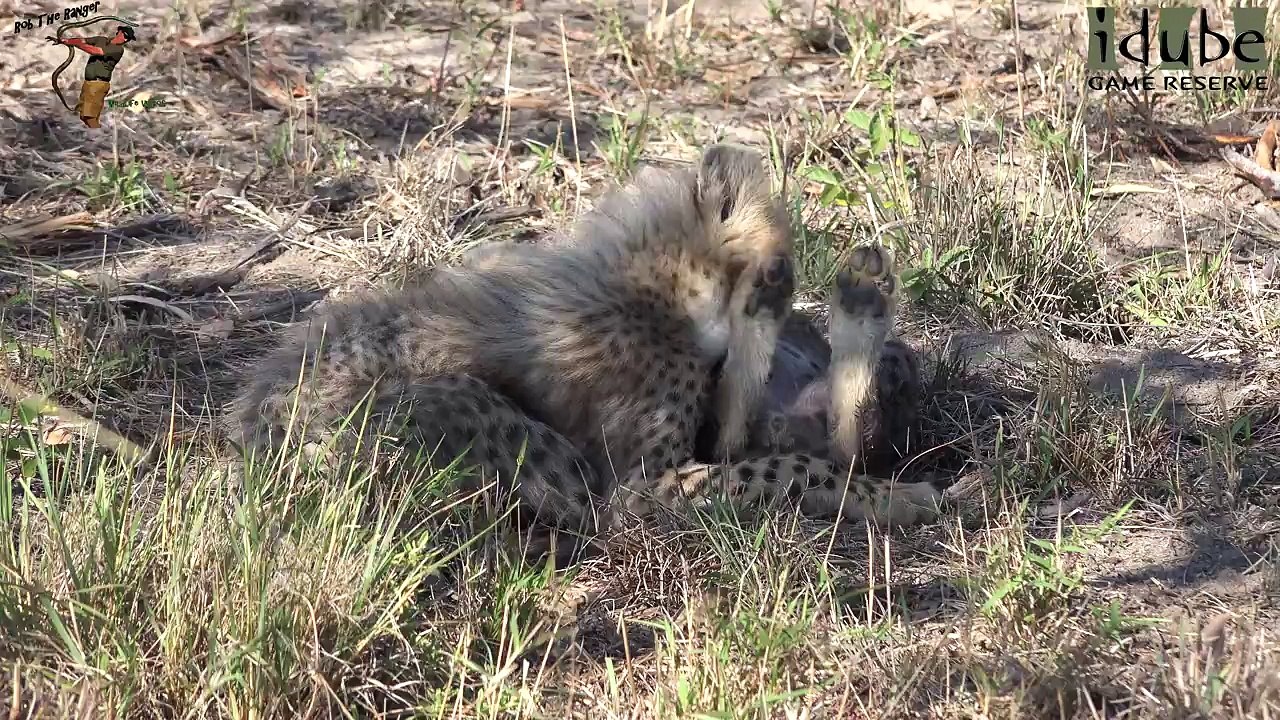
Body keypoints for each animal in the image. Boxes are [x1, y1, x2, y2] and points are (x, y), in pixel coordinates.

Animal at [225, 143, 942, 540]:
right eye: (787, 257)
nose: (785, 291)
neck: (666, 278)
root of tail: (247, 447)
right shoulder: (637, 491)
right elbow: (777, 465)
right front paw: (890, 497)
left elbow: (765, 449)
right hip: (483, 427)